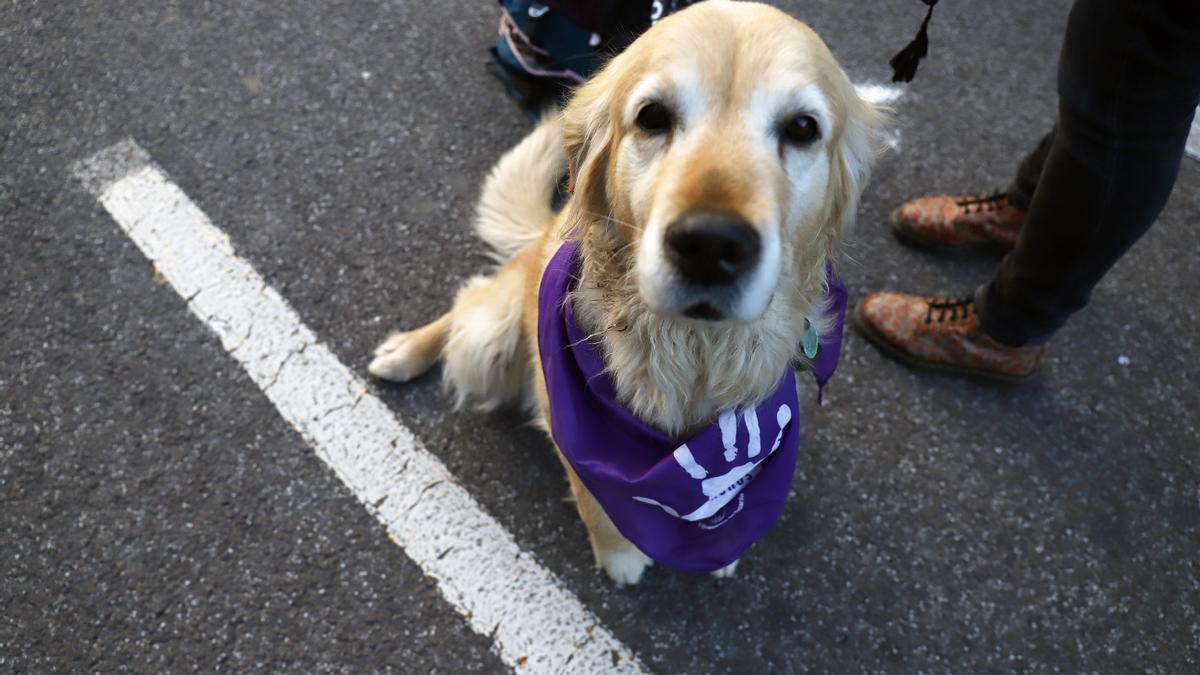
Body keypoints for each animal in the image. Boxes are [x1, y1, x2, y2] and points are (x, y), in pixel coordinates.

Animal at [369, 0, 888, 581]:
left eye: (802, 128)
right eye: (652, 117)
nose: (711, 244)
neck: (692, 351)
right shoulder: (570, 428)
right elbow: (597, 504)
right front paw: (620, 559)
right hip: (490, 333)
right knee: (465, 307)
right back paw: (403, 352)